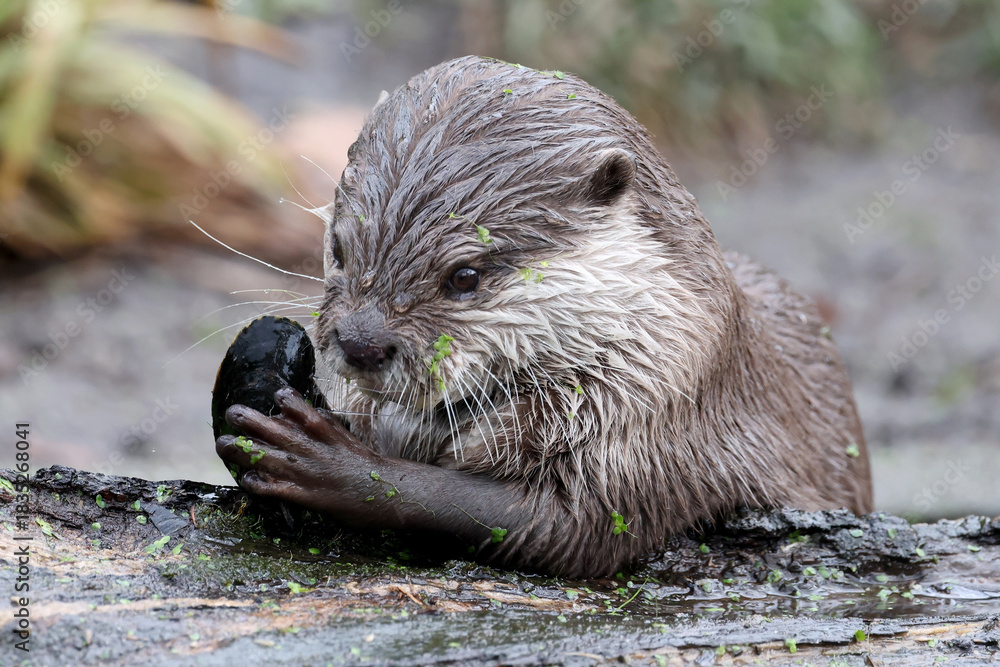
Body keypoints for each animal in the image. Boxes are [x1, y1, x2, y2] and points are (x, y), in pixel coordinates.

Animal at [216, 56, 873, 578]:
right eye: (340, 248)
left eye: (465, 276)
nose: (361, 343)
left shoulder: (659, 418)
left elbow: (567, 530)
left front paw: (328, 463)